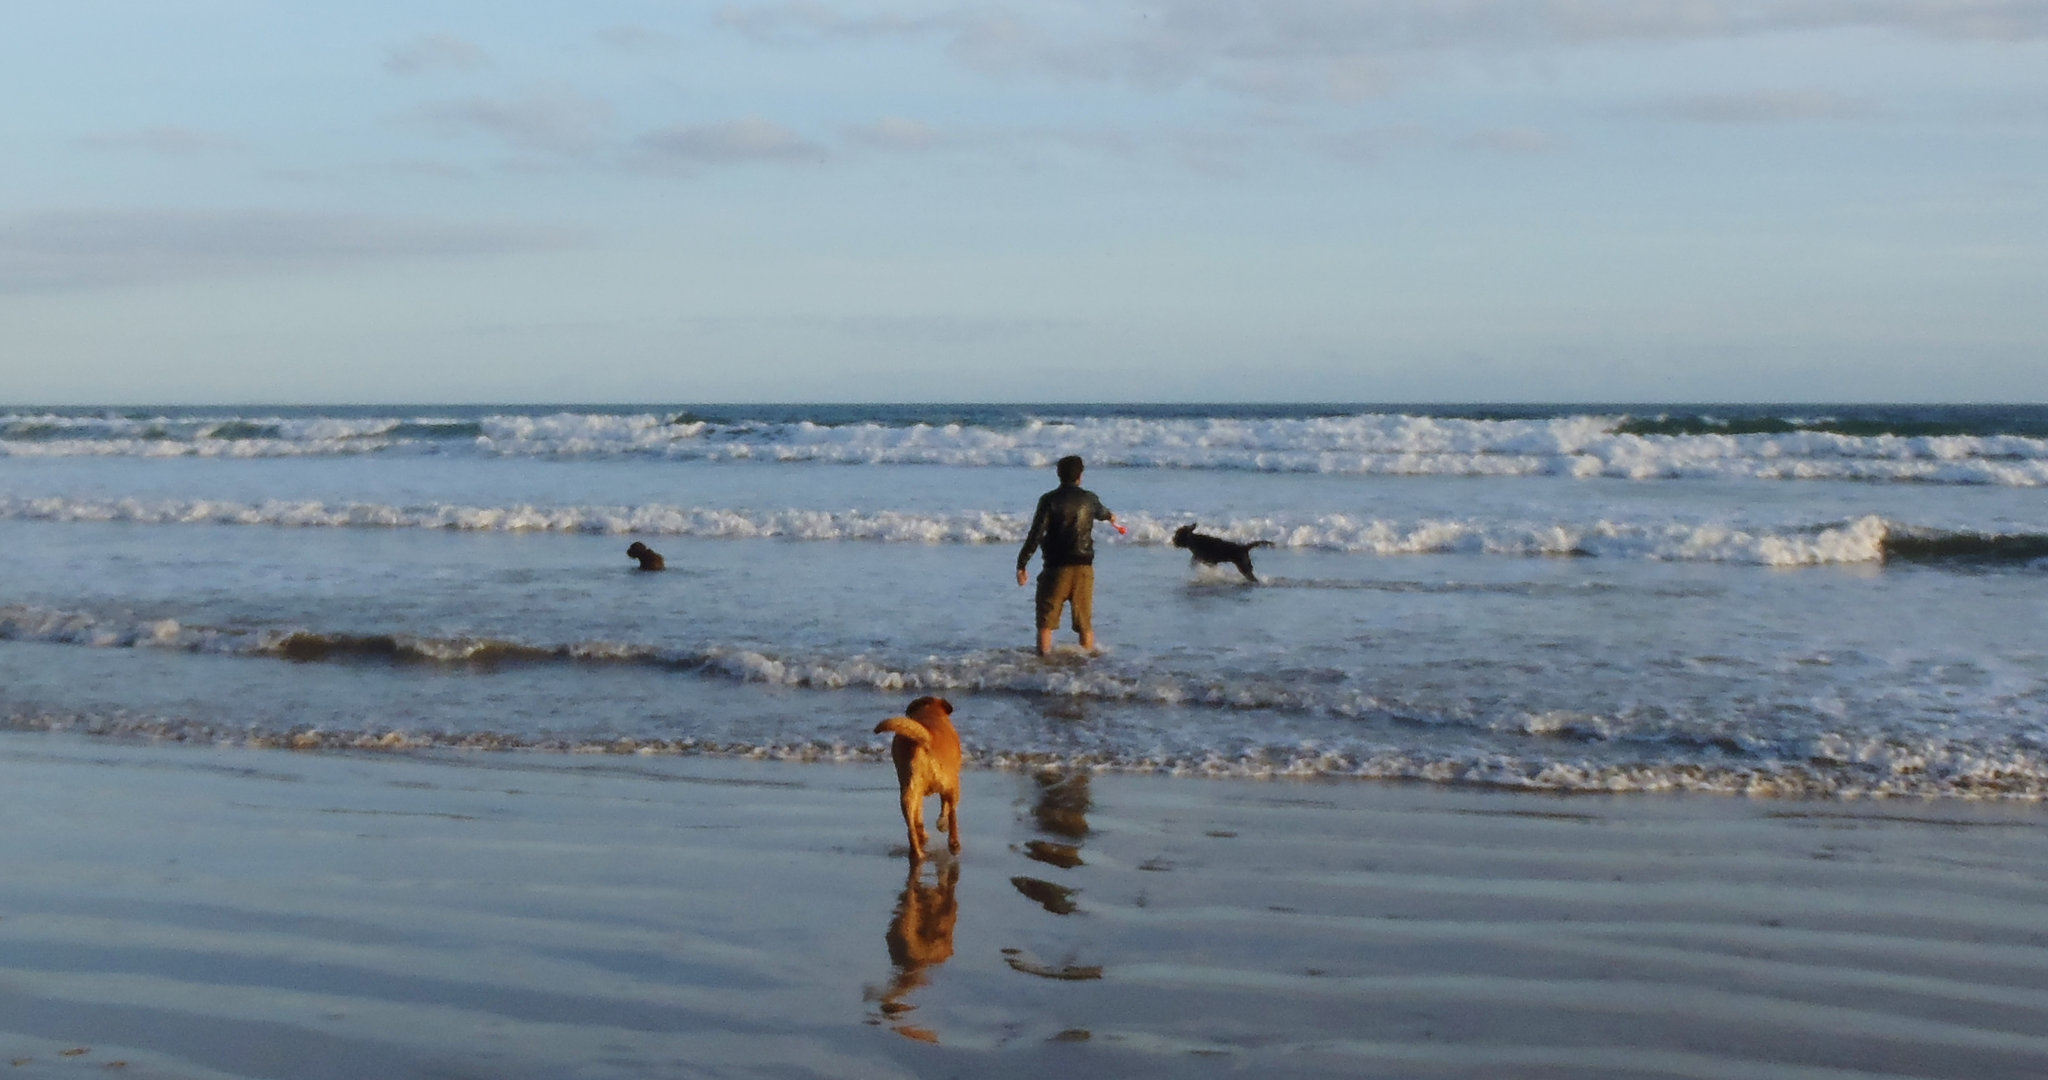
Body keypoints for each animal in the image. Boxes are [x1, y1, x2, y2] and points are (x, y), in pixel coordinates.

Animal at [876, 700, 962, 860]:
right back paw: (954, 844)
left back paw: (918, 849)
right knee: (952, 813)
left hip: (908, 793)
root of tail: (923, 743)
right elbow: (945, 808)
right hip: (951, 785)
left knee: (911, 825)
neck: (930, 711)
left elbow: (919, 815)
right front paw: (942, 824)